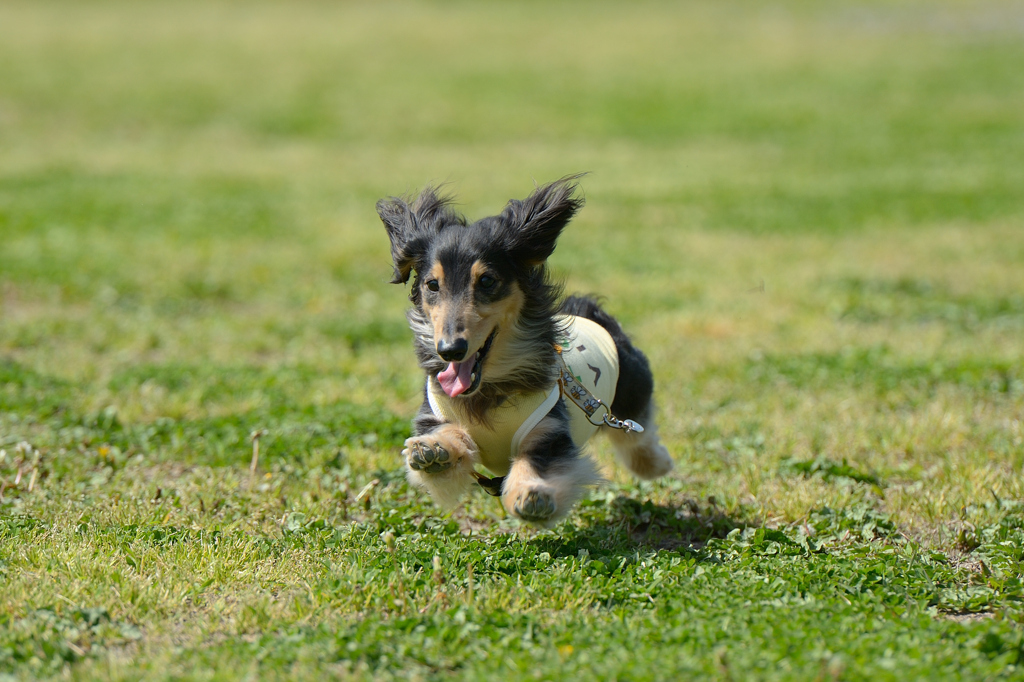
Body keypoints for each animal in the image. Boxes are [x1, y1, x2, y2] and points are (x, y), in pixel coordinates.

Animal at [376, 175, 671, 524]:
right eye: (432, 285)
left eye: (487, 281)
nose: (450, 350)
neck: (489, 388)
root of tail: (586, 310)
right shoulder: (434, 416)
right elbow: (446, 448)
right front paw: (433, 451)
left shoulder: (550, 431)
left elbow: (536, 461)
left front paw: (532, 494)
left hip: (630, 391)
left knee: (637, 434)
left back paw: (657, 463)